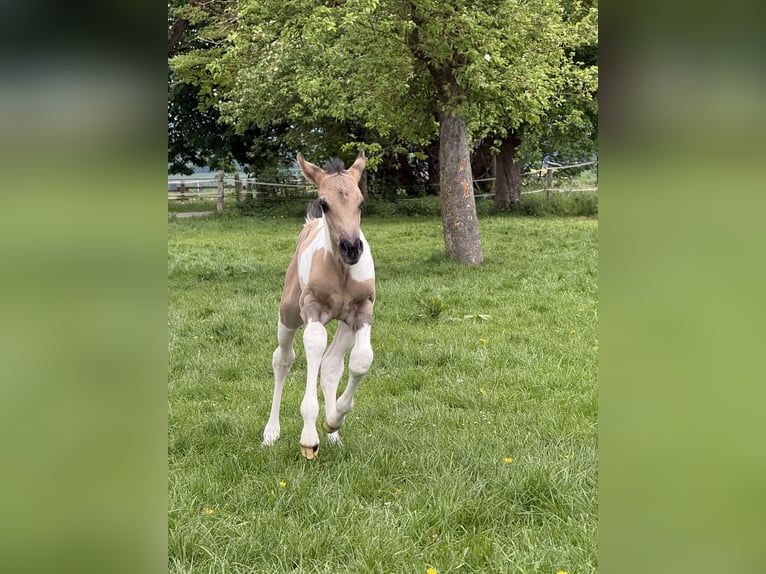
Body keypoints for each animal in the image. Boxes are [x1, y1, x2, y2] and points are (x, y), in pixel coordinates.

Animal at [262, 151, 375, 459]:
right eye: (325, 204)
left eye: (361, 202)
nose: (351, 248)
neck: (340, 271)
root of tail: (308, 224)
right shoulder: (311, 309)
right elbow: (313, 343)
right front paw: (309, 438)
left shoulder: (362, 310)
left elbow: (361, 361)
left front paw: (333, 420)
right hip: (288, 314)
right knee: (283, 360)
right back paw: (271, 433)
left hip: (346, 325)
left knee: (331, 365)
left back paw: (334, 433)